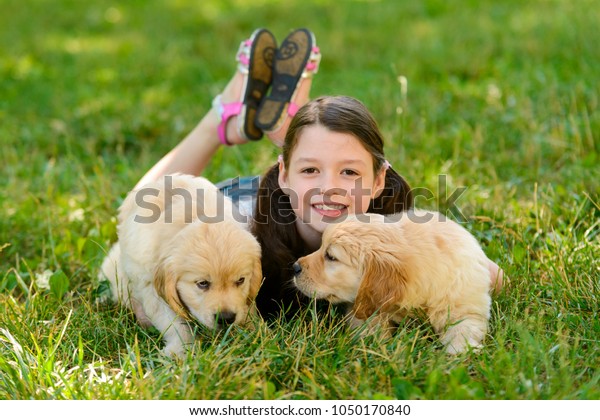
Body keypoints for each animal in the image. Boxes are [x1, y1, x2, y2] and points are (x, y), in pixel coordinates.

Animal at [99, 172, 262, 356]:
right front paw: (180, 351)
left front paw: (254, 332)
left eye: (241, 280)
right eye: (202, 284)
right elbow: (174, 324)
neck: (194, 216)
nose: (226, 318)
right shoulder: (152, 289)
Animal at [292, 210, 494, 354]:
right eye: (321, 247)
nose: (295, 267)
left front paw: (461, 352)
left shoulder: (464, 303)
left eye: (331, 256)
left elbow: (463, 328)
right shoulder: (365, 307)